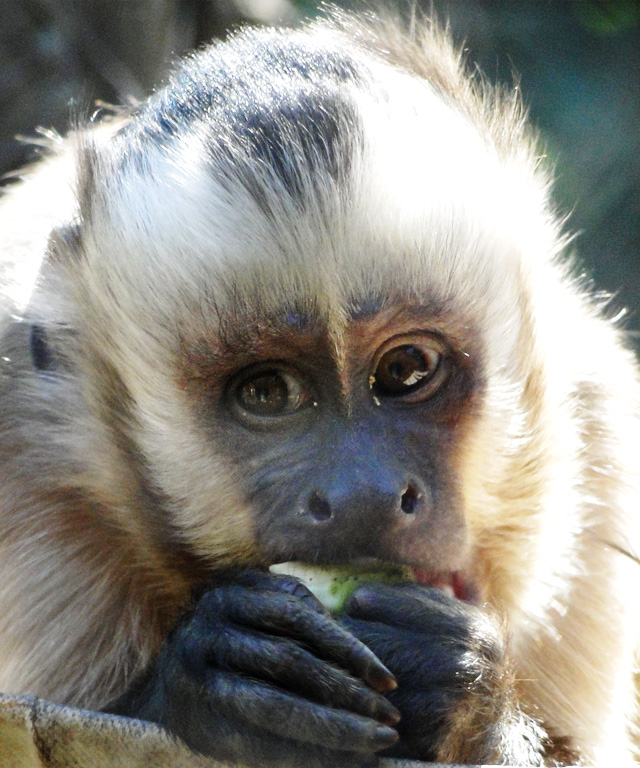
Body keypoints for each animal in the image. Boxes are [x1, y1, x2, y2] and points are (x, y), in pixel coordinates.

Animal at [1, 7, 640, 768]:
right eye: (266, 391)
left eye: (405, 369)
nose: (363, 494)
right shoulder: (24, 452)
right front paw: (225, 673)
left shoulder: (603, 432)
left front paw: (461, 693)